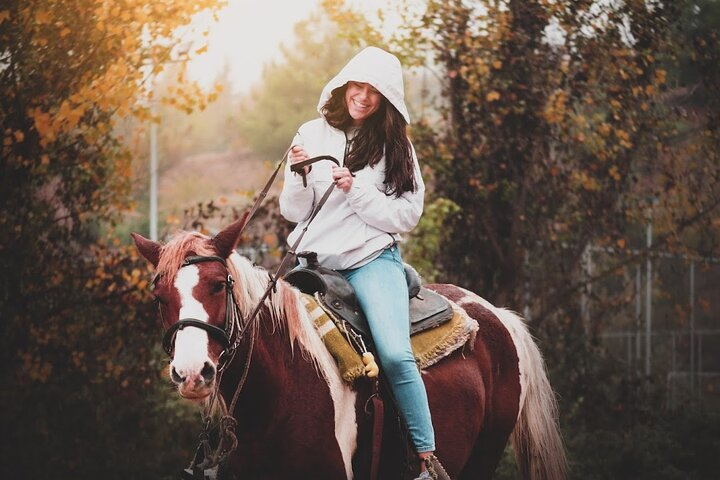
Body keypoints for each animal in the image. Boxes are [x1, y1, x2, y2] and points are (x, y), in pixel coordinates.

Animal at [132, 218, 564, 480]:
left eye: (219, 285)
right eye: (159, 296)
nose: (192, 373)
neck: (275, 398)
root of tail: (497, 315)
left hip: (483, 457)